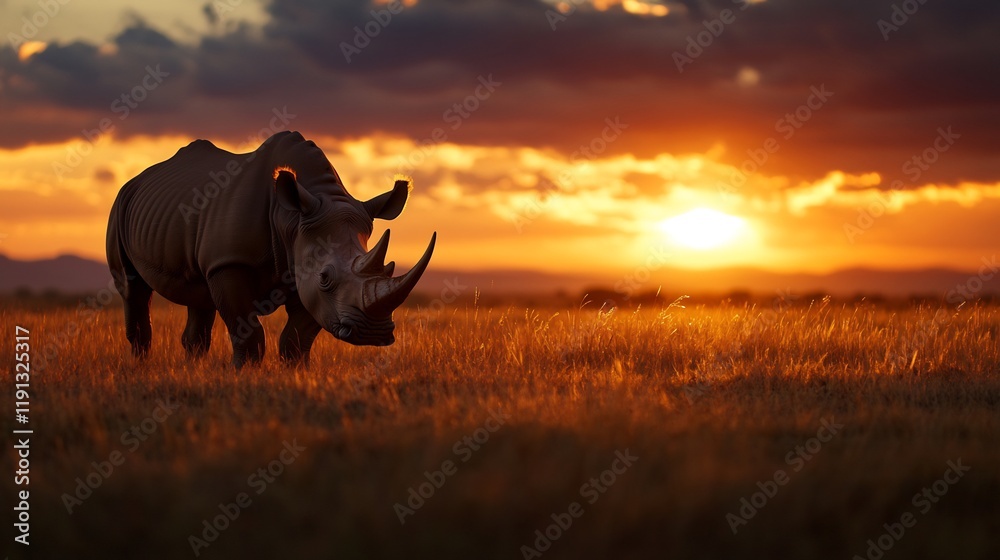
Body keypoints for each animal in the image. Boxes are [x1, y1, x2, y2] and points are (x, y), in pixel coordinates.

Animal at [106, 131, 435, 368]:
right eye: (325, 278)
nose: (373, 333)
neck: (292, 218)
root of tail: (137, 180)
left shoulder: (301, 268)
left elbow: (297, 338)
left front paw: (297, 373)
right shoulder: (230, 263)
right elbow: (248, 332)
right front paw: (244, 374)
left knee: (198, 296)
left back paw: (191, 369)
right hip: (120, 204)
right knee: (133, 289)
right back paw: (141, 367)